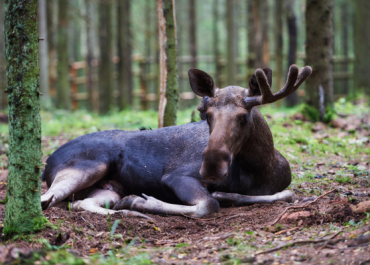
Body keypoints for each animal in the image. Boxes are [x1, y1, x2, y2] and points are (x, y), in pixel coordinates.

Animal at [41, 64, 312, 217]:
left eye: (243, 116)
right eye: (206, 114)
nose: (212, 167)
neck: (261, 168)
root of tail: (46, 163)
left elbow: (288, 195)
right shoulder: (177, 176)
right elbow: (209, 204)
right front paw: (142, 201)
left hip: (108, 189)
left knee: (79, 203)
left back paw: (126, 211)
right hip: (87, 167)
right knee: (47, 200)